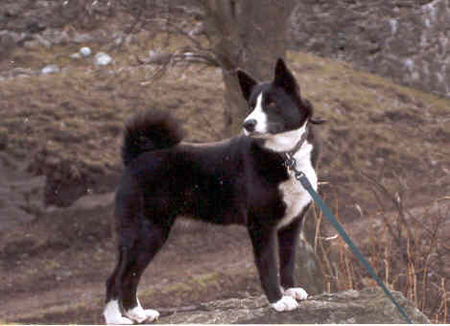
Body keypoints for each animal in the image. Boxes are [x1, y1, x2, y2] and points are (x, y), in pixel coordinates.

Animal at [103, 58, 324, 324]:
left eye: (271, 103)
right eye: (251, 106)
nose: (247, 124)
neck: (285, 154)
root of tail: (135, 158)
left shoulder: (292, 223)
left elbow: (288, 260)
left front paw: (290, 290)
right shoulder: (261, 225)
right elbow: (268, 265)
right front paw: (278, 301)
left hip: (146, 234)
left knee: (124, 276)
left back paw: (132, 314)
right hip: (146, 231)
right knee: (119, 276)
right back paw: (121, 316)